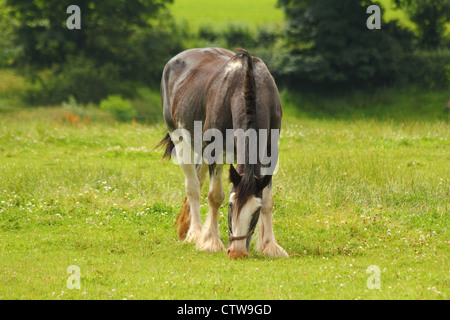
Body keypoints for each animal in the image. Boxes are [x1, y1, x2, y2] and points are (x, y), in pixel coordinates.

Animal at [156, 47, 286, 258]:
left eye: (255, 212)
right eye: (231, 206)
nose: (237, 252)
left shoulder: (270, 154)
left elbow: (268, 200)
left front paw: (270, 245)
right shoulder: (214, 152)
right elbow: (215, 196)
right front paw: (210, 241)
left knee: (199, 179)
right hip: (179, 138)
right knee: (193, 186)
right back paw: (195, 232)